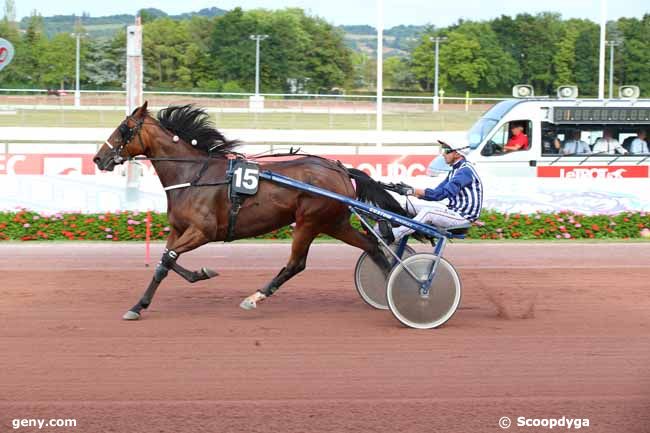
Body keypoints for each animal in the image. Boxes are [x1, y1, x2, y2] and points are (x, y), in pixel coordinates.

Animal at [93, 101, 402, 318]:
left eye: (123, 128)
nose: (98, 158)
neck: (193, 175)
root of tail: (340, 170)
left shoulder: (203, 232)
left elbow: (167, 260)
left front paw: (143, 304)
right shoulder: (180, 229)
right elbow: (164, 262)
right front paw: (148, 300)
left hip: (310, 222)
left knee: (296, 264)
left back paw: (255, 297)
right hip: (335, 223)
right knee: (372, 246)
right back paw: (393, 285)